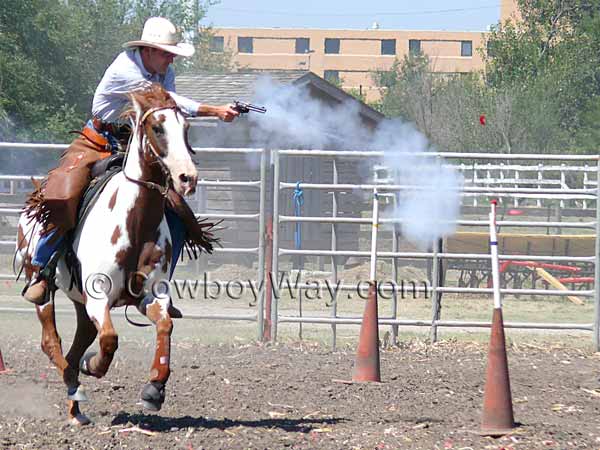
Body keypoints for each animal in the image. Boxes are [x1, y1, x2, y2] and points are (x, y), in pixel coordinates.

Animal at [13, 85, 202, 426]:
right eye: (157, 128)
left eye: (186, 128)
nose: (186, 177)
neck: (136, 222)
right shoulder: (99, 296)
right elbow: (111, 339)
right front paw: (94, 366)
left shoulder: (149, 295)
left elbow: (165, 326)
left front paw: (154, 391)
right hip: (44, 288)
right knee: (51, 341)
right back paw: (75, 388)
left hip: (81, 302)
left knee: (78, 342)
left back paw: (76, 408)